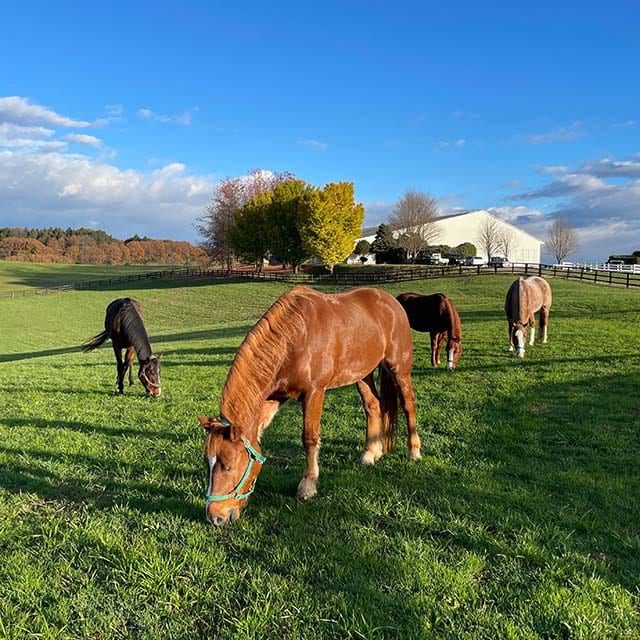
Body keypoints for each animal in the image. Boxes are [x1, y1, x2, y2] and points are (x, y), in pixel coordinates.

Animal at [198, 288, 422, 528]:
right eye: (208, 463)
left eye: (228, 466)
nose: (214, 517)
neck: (294, 338)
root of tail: (391, 301)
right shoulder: (274, 398)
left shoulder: (315, 392)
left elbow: (309, 437)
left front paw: (307, 487)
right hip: (363, 373)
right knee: (373, 406)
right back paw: (370, 453)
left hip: (399, 367)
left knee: (408, 405)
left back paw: (414, 451)